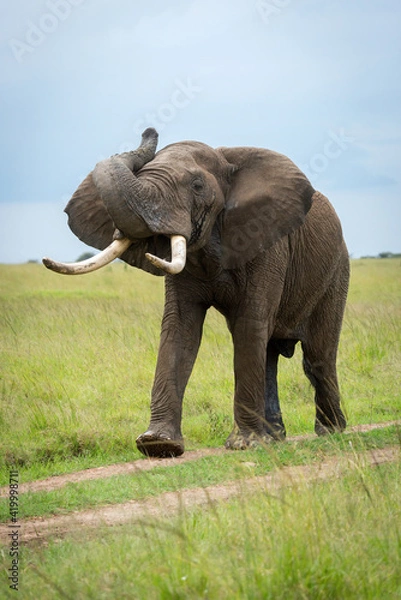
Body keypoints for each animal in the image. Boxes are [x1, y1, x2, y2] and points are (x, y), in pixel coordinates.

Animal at [43, 126, 346, 454]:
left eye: (198, 186)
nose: (150, 131)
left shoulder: (268, 243)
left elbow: (249, 324)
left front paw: (244, 445)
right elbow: (180, 328)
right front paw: (157, 444)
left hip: (336, 271)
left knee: (317, 355)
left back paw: (330, 431)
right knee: (270, 354)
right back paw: (275, 437)